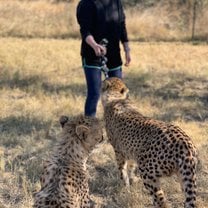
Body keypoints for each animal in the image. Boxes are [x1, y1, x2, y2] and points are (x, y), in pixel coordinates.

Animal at [101, 77, 199, 208]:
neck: (116, 98)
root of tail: (184, 144)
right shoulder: (131, 151)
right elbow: (131, 166)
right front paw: (132, 179)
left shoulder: (118, 151)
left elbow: (122, 170)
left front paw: (124, 187)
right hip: (185, 176)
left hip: (148, 173)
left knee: (161, 202)